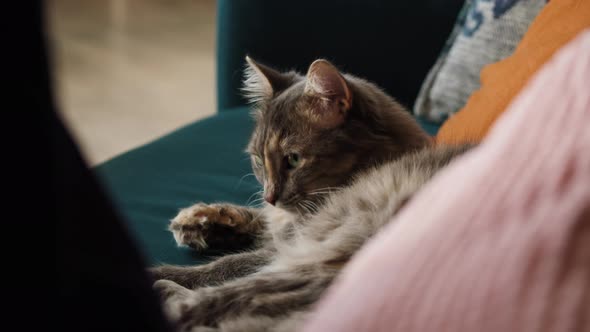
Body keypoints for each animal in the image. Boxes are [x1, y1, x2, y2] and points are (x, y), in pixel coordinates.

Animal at [151, 57, 472, 332]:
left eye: (293, 159)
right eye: (258, 159)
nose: (270, 196)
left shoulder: (287, 245)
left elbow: (224, 265)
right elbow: (258, 219)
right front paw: (200, 221)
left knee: (213, 303)